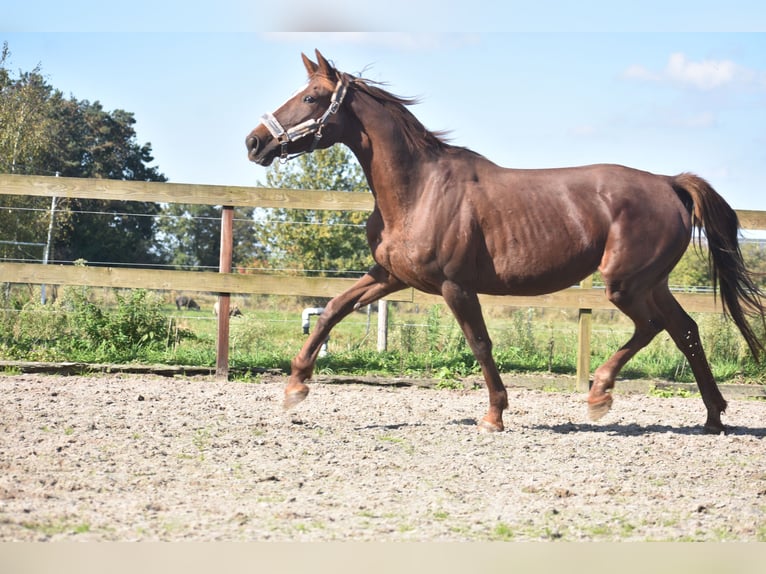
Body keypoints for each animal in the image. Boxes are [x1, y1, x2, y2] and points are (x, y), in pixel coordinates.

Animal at [249, 49, 764, 434]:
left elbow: (480, 342)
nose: (254, 143)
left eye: (312, 97)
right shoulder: (391, 275)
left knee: (653, 327)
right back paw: (713, 417)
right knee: (686, 331)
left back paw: (600, 394)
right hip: (651, 283)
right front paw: (295, 387)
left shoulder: (456, 286)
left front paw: (494, 414)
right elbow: (333, 310)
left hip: (625, 284)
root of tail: (669, 183)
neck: (419, 189)